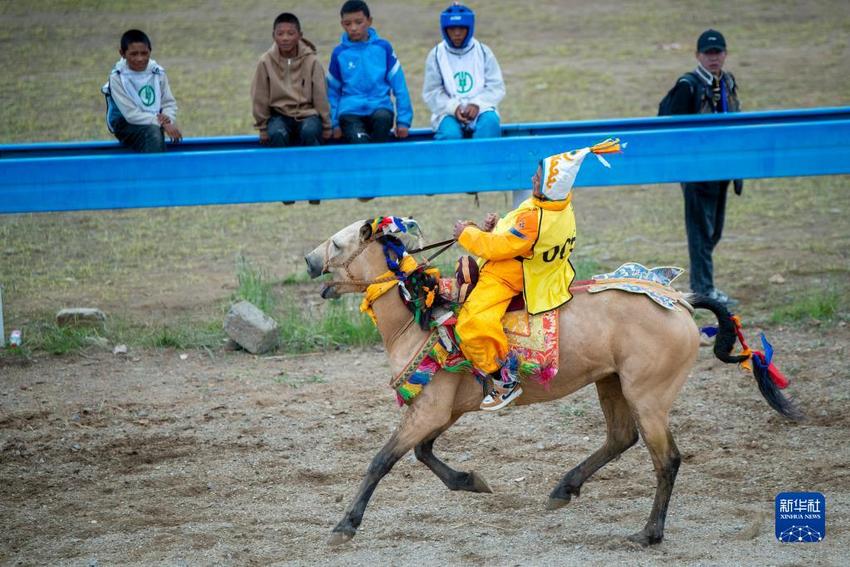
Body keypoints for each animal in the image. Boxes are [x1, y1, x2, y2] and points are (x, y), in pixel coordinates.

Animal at [304, 216, 800, 544]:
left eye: (338, 243)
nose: (309, 262)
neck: (421, 316)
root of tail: (679, 299)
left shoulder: (429, 410)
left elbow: (381, 461)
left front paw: (345, 525)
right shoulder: (445, 410)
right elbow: (424, 454)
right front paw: (472, 481)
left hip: (648, 396)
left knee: (667, 460)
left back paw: (649, 533)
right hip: (612, 384)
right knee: (620, 438)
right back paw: (565, 489)